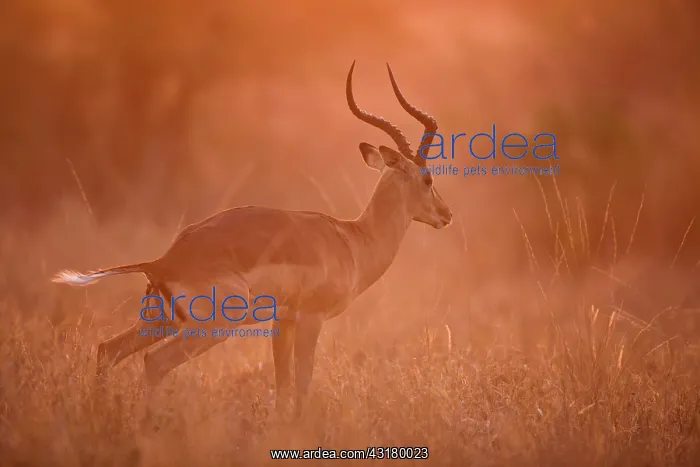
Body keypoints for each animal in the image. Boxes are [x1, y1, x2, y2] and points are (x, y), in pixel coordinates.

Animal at [51, 61, 452, 418]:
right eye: (428, 178)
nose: (445, 215)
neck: (352, 240)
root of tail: (164, 261)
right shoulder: (311, 318)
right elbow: (302, 384)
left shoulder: (282, 321)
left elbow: (283, 383)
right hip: (210, 328)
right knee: (154, 361)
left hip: (159, 321)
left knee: (107, 350)